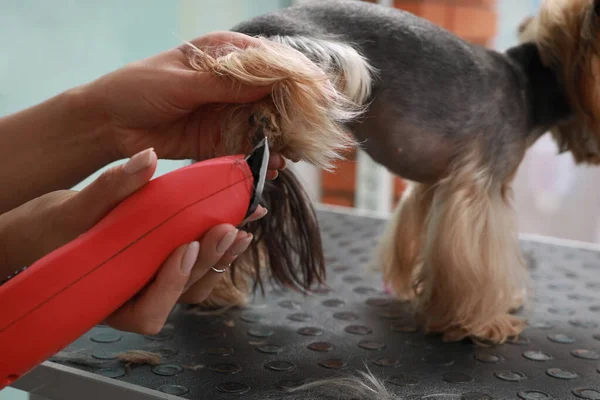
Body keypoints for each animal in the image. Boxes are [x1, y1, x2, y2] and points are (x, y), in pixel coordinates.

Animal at [184, 0, 600, 346]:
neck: (531, 84)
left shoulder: (435, 185)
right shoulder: (480, 186)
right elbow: (478, 255)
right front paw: (483, 323)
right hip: (322, 59)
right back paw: (271, 121)